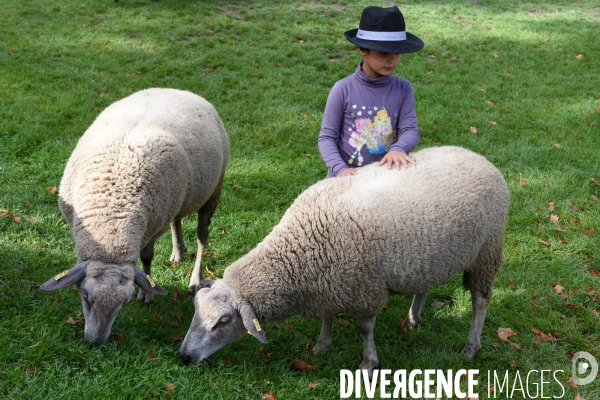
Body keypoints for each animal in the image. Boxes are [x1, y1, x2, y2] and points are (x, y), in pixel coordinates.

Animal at [40, 87, 230, 344]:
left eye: (124, 302)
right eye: (86, 297)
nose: (96, 342)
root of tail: (178, 90)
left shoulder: (152, 225)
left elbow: (147, 257)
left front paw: (146, 295)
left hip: (213, 190)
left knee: (202, 236)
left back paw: (194, 280)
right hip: (178, 196)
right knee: (177, 219)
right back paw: (178, 251)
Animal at [179, 147, 510, 376]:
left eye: (223, 321)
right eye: (195, 310)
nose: (184, 357)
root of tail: (479, 157)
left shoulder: (365, 289)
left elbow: (364, 328)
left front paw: (368, 363)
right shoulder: (330, 283)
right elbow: (327, 316)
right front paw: (322, 346)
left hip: (487, 252)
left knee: (480, 300)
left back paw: (470, 347)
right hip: (430, 254)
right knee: (425, 284)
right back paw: (414, 318)